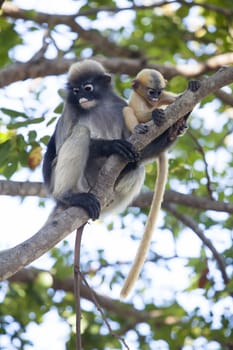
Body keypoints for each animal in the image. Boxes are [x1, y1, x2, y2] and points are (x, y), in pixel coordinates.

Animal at [120, 68, 200, 298]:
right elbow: (136, 111)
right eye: (150, 91)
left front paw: (192, 87)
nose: (155, 98)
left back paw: (176, 128)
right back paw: (145, 129)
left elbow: (181, 100)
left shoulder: (166, 96)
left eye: (158, 91)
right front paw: (154, 115)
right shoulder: (137, 98)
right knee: (127, 111)